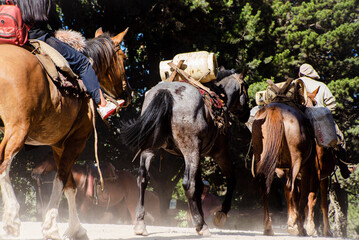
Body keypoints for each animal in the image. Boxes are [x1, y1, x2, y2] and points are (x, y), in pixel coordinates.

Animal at [0, 27, 132, 239]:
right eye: (123, 57)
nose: (130, 93)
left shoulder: (58, 145)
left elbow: (70, 186)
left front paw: (75, 229)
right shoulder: (75, 142)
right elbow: (61, 180)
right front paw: (52, 226)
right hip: (18, 130)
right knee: (4, 164)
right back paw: (12, 218)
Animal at [32, 154, 162, 225]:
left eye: (45, 159)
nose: (33, 173)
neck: (80, 178)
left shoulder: (86, 204)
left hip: (131, 202)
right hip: (121, 204)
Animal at [121, 68, 250, 235]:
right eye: (245, 87)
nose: (247, 114)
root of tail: (166, 92)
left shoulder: (199, 155)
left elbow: (200, 187)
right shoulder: (220, 153)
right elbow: (231, 180)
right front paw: (220, 213)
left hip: (150, 148)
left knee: (143, 179)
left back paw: (140, 223)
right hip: (191, 149)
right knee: (188, 184)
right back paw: (202, 225)